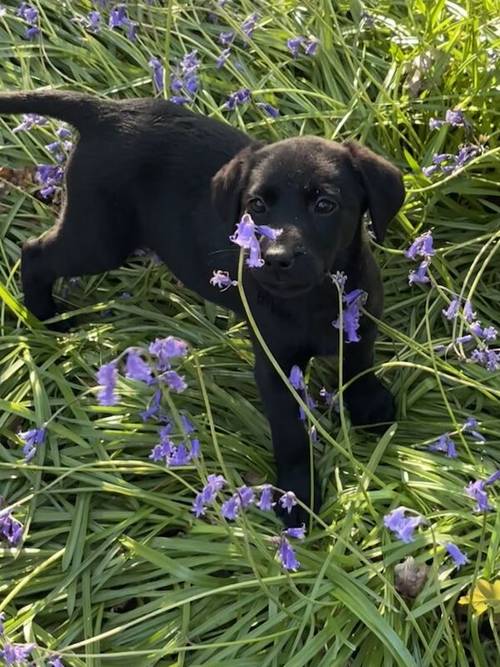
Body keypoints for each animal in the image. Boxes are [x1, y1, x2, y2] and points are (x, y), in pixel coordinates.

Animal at [0, 91, 406, 524]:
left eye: (326, 205)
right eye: (256, 205)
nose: (275, 258)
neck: (312, 298)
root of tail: (104, 110)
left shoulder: (360, 320)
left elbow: (359, 364)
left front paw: (369, 406)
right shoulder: (274, 368)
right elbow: (290, 434)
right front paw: (296, 496)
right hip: (99, 237)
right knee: (34, 252)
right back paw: (47, 321)